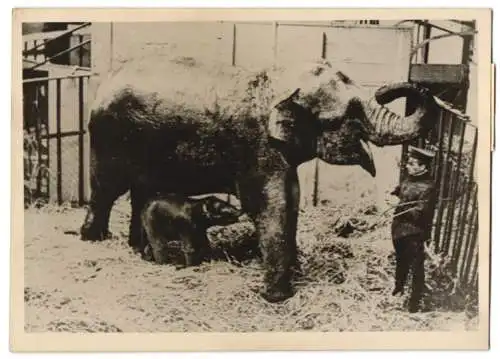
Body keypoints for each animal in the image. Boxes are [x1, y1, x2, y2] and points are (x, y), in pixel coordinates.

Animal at [80, 55, 436, 304]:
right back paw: (93, 240)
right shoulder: (257, 148)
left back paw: (136, 249)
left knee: (141, 193)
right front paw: (277, 297)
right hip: (108, 138)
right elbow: (270, 206)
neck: (276, 81)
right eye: (347, 116)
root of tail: (104, 82)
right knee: (105, 190)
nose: (385, 88)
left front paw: (295, 275)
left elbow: (291, 201)